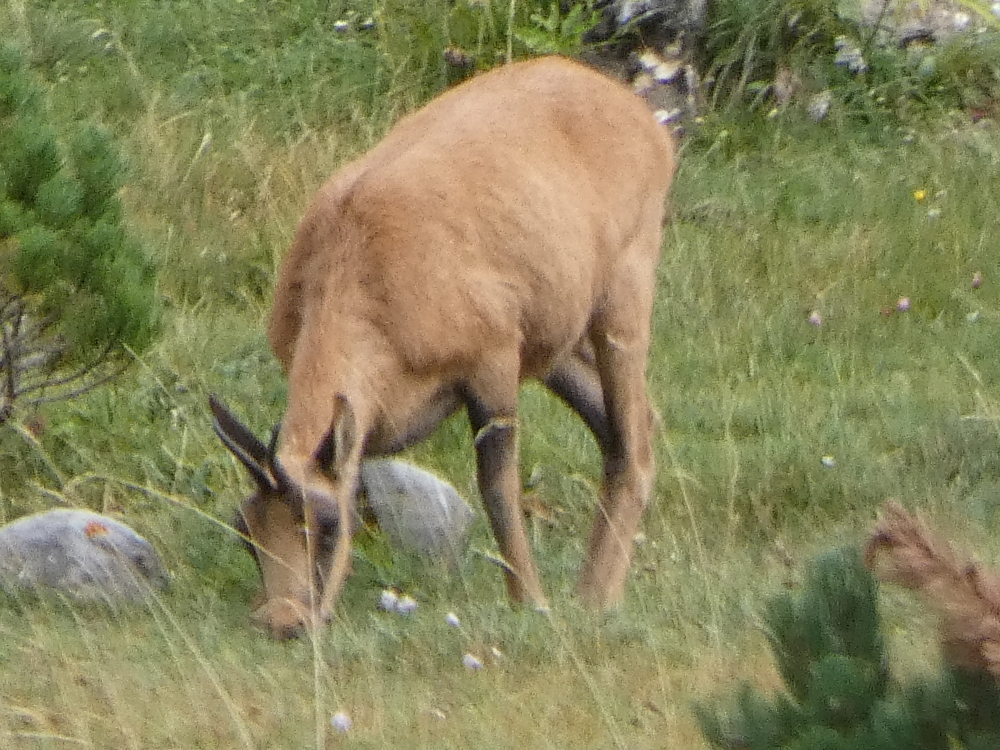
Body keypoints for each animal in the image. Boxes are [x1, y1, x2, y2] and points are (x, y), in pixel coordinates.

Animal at [209, 55, 677, 640]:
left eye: (326, 523)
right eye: (244, 526)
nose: (283, 621)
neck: (359, 257)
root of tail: (638, 116)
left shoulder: (492, 367)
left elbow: (497, 488)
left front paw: (531, 604)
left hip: (622, 303)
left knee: (634, 442)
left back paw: (596, 598)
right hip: (557, 348)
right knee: (621, 430)